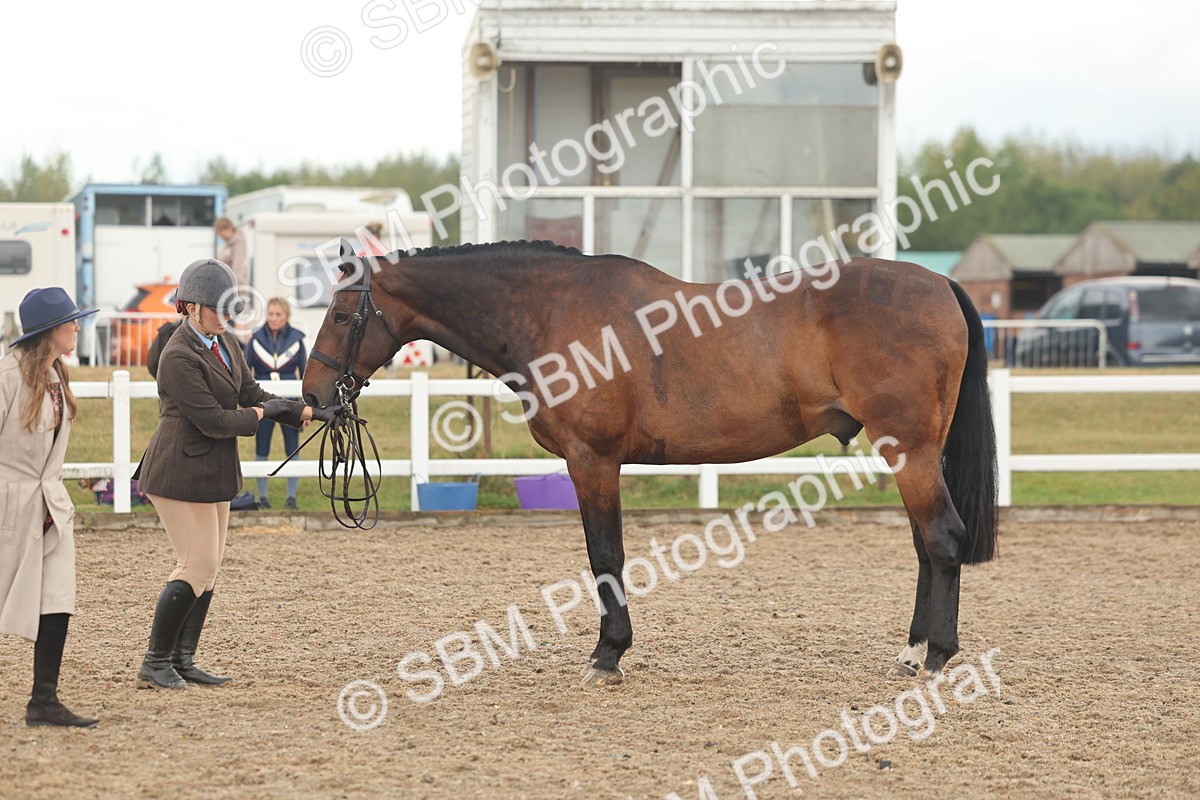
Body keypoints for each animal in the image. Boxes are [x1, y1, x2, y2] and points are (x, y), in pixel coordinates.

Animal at [302, 239, 998, 686]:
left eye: (340, 313)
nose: (312, 397)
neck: (554, 313)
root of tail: (939, 285)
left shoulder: (593, 462)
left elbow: (605, 557)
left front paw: (607, 655)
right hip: (912, 453)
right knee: (925, 546)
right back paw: (911, 651)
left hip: (910, 451)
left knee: (942, 538)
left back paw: (937, 657)